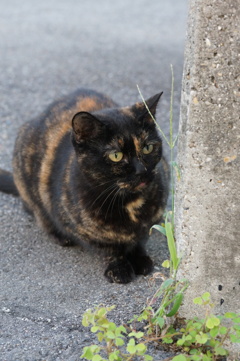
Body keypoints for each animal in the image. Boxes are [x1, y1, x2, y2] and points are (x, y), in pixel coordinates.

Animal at [0, 88, 169, 282]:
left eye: (148, 148)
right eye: (116, 156)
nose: (142, 170)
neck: (130, 203)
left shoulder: (150, 222)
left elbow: (140, 240)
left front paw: (140, 259)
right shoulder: (86, 232)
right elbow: (109, 249)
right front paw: (119, 269)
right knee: (37, 213)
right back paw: (59, 235)